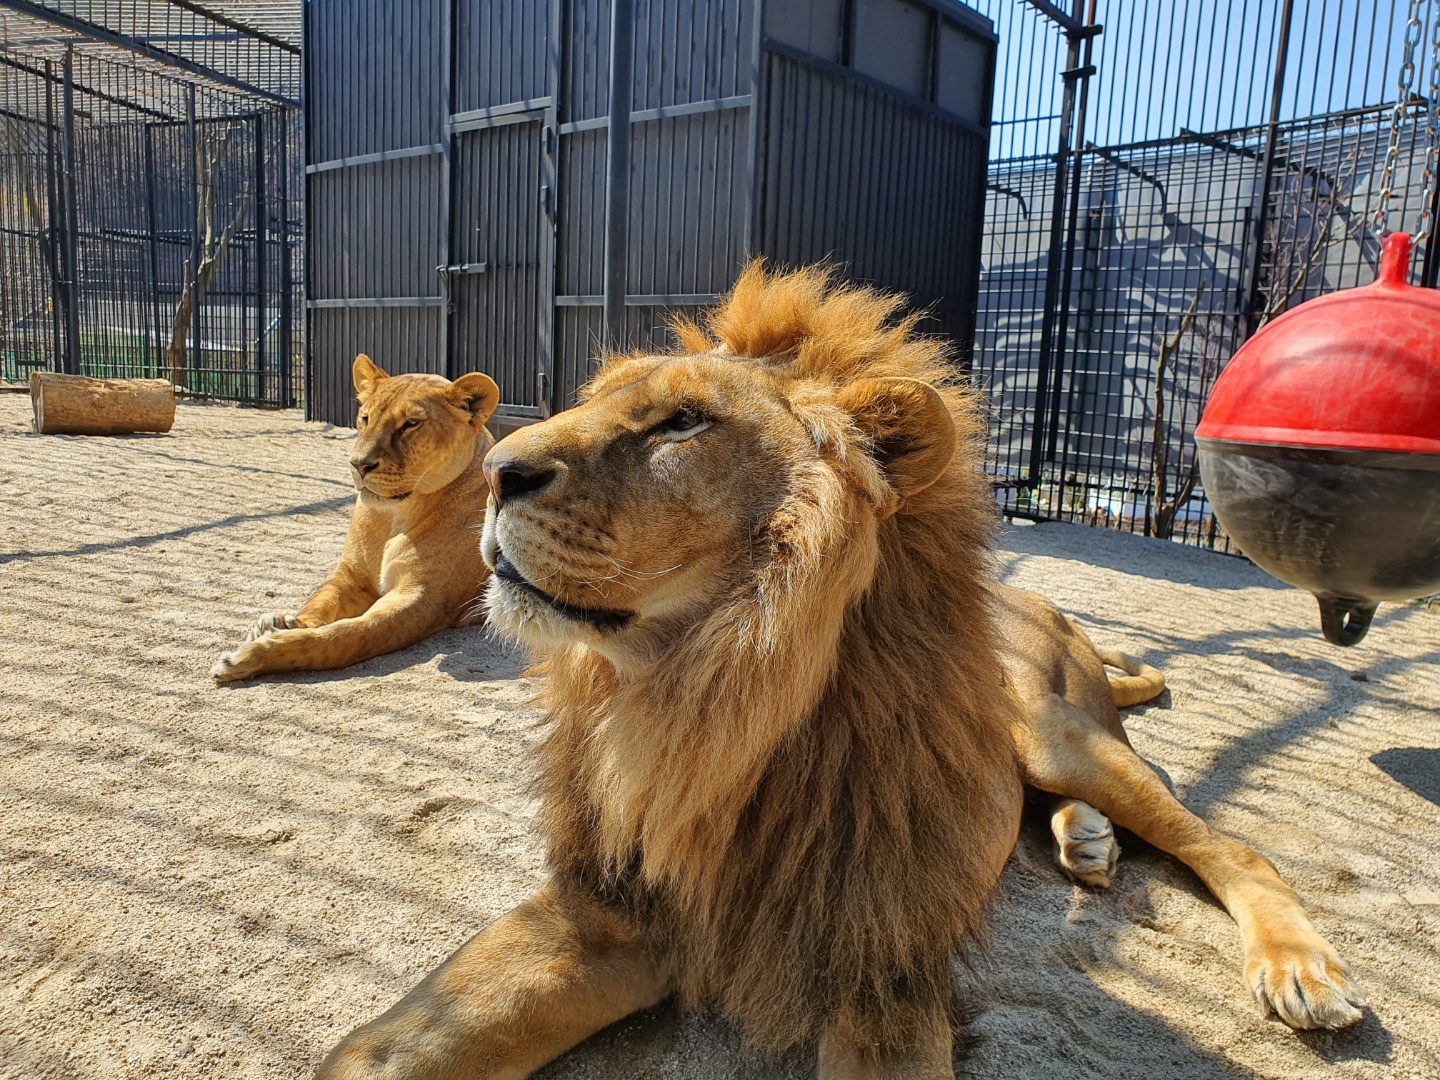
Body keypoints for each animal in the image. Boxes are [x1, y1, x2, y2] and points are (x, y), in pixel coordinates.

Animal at [210, 357, 498, 685]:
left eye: (411, 423)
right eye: (365, 418)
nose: (358, 465)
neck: (394, 516)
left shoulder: (423, 598)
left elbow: (345, 637)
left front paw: (251, 655)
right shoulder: (351, 575)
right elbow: (320, 602)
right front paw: (285, 622)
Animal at [315, 266, 1359, 1077]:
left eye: (683, 422)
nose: (495, 475)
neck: (699, 706)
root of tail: (1038, 604)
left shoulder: (878, 970)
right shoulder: (606, 907)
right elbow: (381, 1054)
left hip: (1061, 732)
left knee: (1226, 844)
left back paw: (1297, 969)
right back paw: (1088, 844)